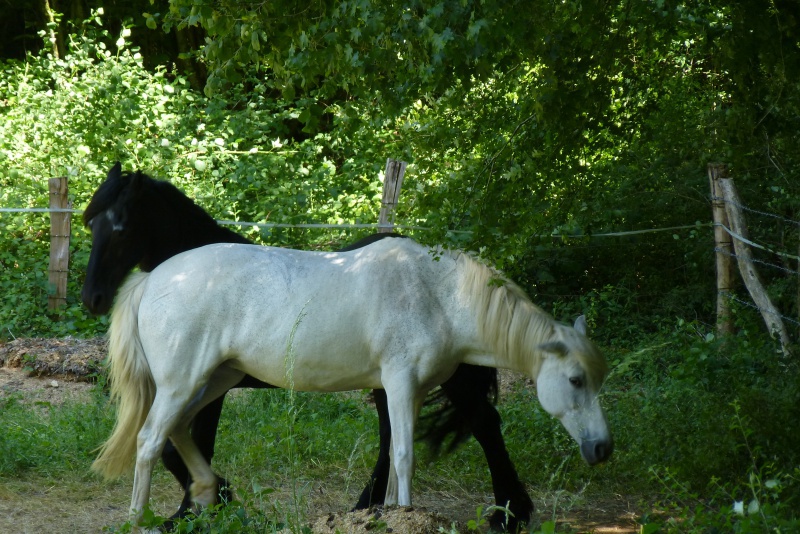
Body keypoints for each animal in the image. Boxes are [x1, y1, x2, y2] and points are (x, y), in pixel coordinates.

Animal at [81, 162, 536, 532]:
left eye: (120, 227)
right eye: (90, 224)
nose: (91, 299)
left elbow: (188, 446)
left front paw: (205, 505)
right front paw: (202, 505)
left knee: (484, 424)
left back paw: (508, 514)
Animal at [90, 240, 608, 528]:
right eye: (575, 379)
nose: (602, 449)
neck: (439, 294)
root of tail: (154, 276)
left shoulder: (412, 392)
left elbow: (397, 458)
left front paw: (393, 515)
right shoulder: (399, 384)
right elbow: (405, 456)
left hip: (217, 377)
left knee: (177, 431)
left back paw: (205, 491)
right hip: (182, 381)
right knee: (150, 440)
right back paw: (140, 519)